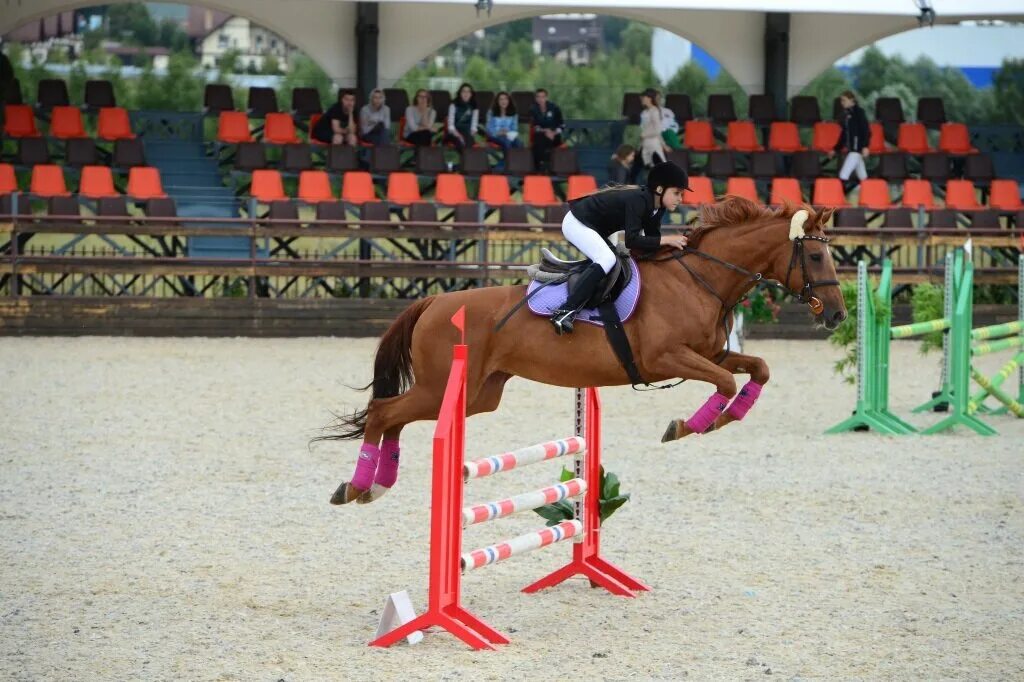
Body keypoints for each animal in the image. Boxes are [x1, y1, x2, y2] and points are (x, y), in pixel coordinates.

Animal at [323, 193, 843, 501]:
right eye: (817, 255)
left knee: (394, 415)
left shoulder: (711, 353)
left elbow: (757, 369)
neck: (700, 279)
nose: (837, 315)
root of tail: (433, 302)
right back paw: (356, 486)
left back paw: (375, 485)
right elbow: (724, 382)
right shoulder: (665, 359)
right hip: (445, 388)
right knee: (383, 412)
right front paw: (687, 425)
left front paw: (723, 418)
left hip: (475, 396)